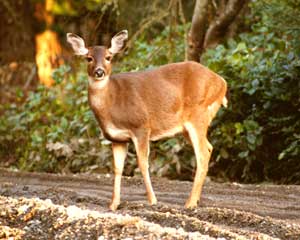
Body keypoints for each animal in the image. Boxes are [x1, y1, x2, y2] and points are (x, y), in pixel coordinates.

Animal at [67, 30, 227, 212]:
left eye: (108, 57)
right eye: (88, 58)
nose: (99, 72)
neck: (112, 103)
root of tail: (222, 83)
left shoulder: (141, 126)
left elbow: (142, 163)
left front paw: (152, 200)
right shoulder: (117, 138)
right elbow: (117, 168)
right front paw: (113, 204)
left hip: (198, 113)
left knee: (202, 153)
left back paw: (190, 203)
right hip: (187, 125)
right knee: (208, 147)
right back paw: (196, 200)